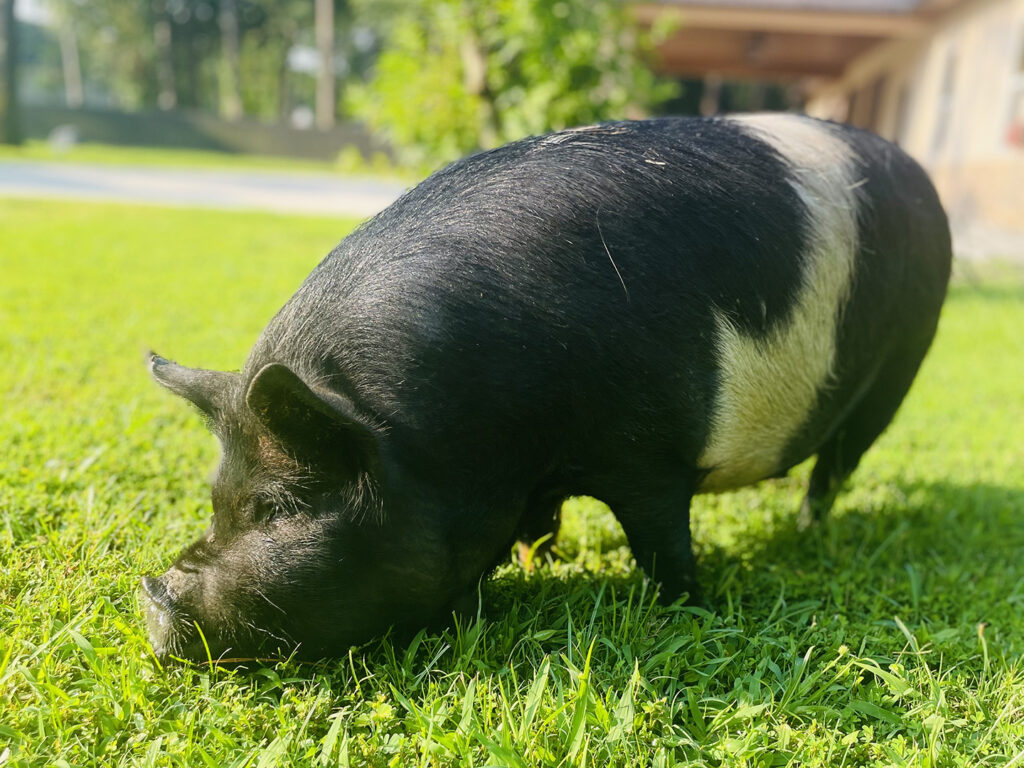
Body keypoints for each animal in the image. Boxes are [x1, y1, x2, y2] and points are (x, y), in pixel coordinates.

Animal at [140, 112, 946, 663]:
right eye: (215, 499)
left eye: (278, 507)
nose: (153, 591)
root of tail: (919, 174)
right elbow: (545, 523)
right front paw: (542, 562)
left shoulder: (651, 454)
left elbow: (662, 538)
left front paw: (686, 607)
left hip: (903, 365)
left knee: (839, 461)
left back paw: (808, 531)